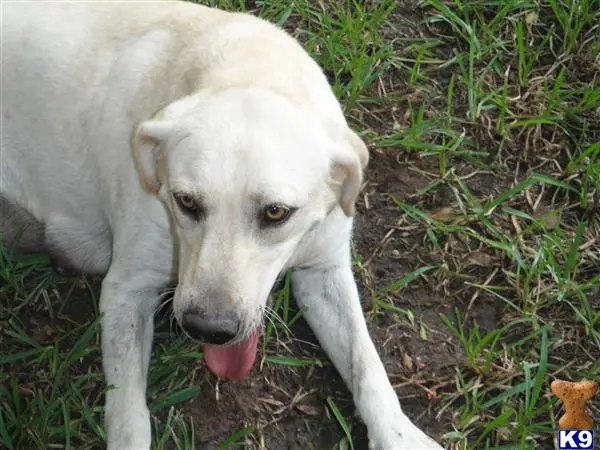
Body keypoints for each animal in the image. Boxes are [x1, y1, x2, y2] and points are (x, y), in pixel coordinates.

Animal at [2, 1, 442, 448]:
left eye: (276, 212)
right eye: (186, 202)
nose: (208, 329)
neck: (249, 68)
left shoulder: (323, 271)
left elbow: (366, 362)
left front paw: (400, 435)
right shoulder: (127, 288)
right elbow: (128, 416)